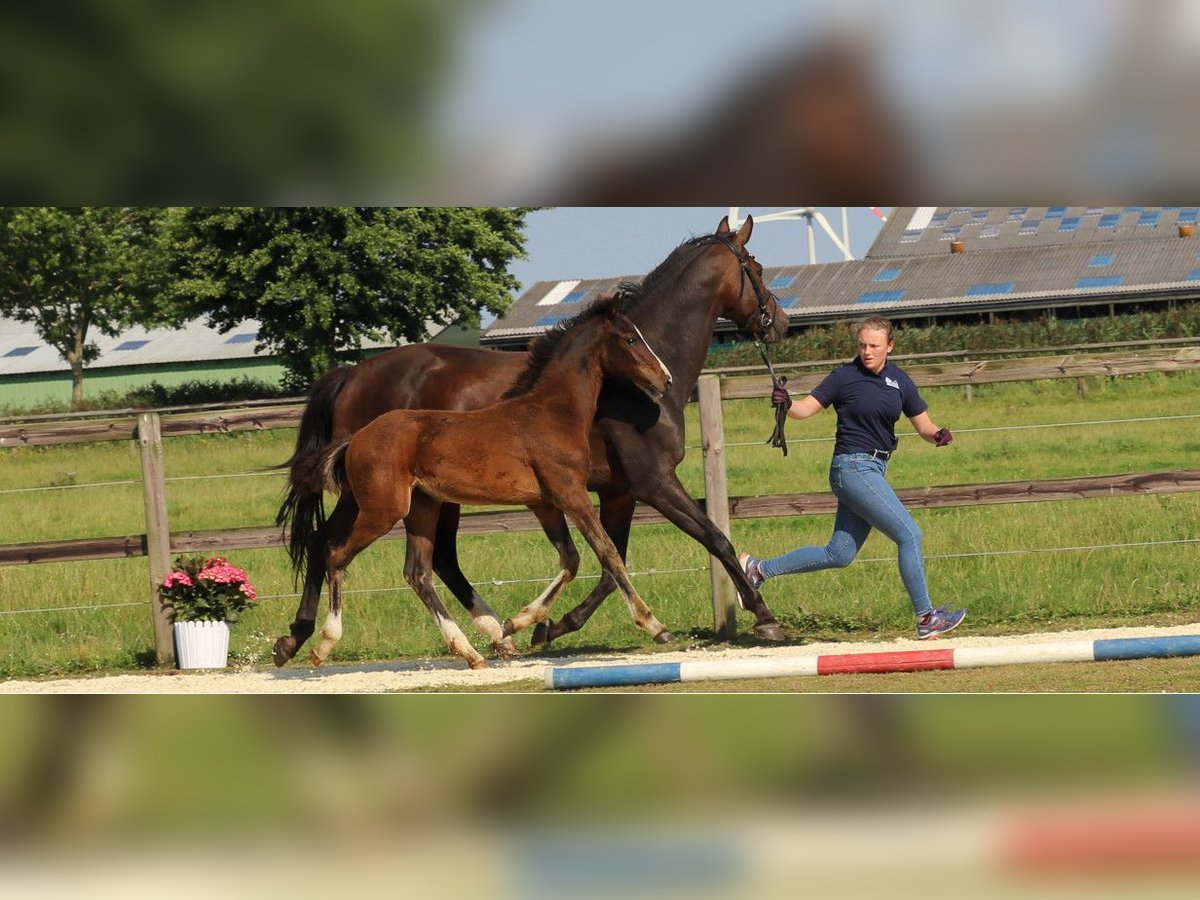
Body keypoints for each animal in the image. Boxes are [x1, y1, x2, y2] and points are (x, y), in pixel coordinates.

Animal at [312, 296, 676, 672]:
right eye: (631, 339)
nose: (666, 379)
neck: (553, 414)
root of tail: (355, 440)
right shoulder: (570, 494)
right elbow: (608, 553)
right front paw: (654, 625)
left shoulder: (544, 503)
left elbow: (571, 559)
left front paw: (517, 623)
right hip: (384, 510)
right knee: (337, 554)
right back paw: (323, 644)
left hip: (423, 508)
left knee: (418, 573)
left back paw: (470, 652)